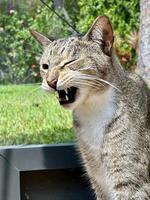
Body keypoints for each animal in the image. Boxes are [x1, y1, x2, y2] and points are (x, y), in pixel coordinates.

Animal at [30, 16, 150, 200]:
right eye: (45, 66)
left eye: (70, 62)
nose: (50, 81)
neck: (92, 110)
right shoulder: (97, 178)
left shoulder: (130, 180)